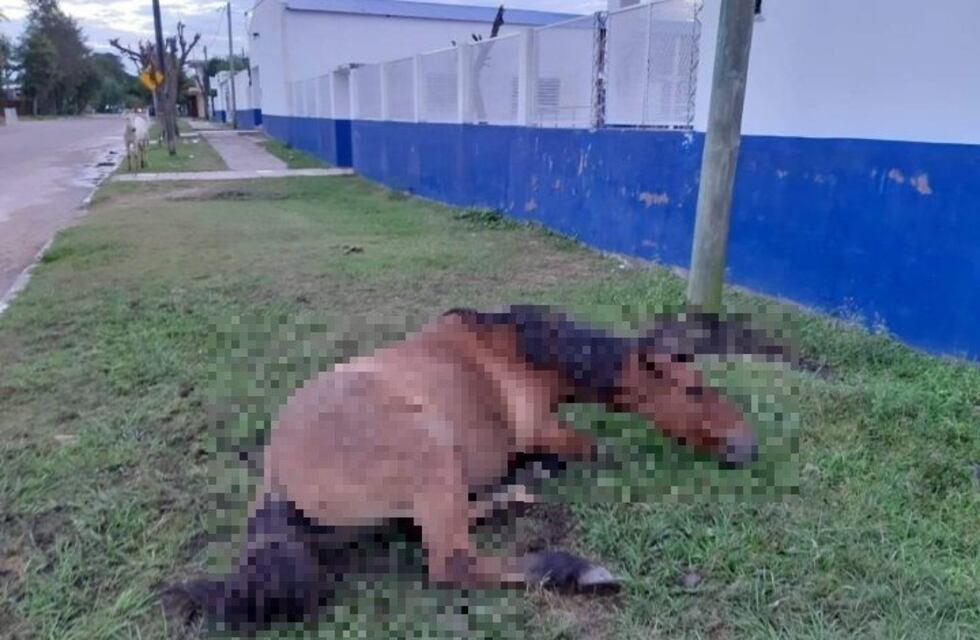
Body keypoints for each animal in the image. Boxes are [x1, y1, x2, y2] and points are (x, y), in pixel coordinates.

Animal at [168, 305, 791, 633]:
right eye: (694, 388)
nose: (746, 446)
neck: (522, 356)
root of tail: (277, 477)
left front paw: (532, 476)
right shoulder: (545, 430)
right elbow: (593, 449)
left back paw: (515, 495)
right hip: (430, 451)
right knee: (453, 560)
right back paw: (573, 569)